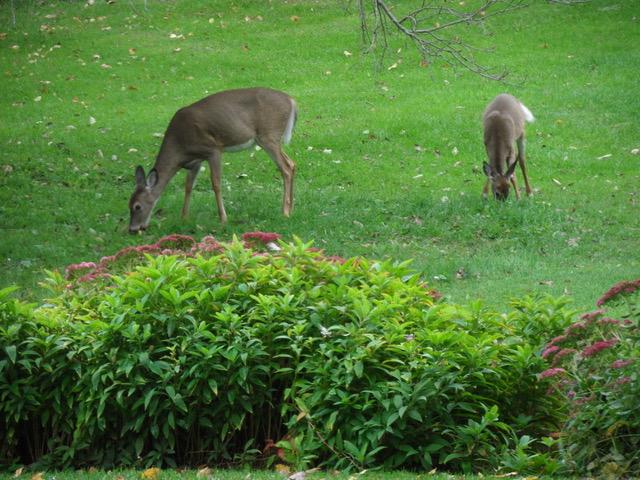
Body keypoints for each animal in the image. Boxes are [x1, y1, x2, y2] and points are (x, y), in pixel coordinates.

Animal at [128, 87, 297, 233]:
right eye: (128, 204)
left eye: (137, 207)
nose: (132, 229)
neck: (180, 148)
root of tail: (291, 100)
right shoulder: (195, 162)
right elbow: (188, 186)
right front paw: (184, 217)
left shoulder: (213, 149)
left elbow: (216, 183)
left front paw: (223, 219)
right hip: (270, 139)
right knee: (292, 163)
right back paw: (291, 208)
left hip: (268, 135)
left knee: (285, 167)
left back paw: (285, 211)